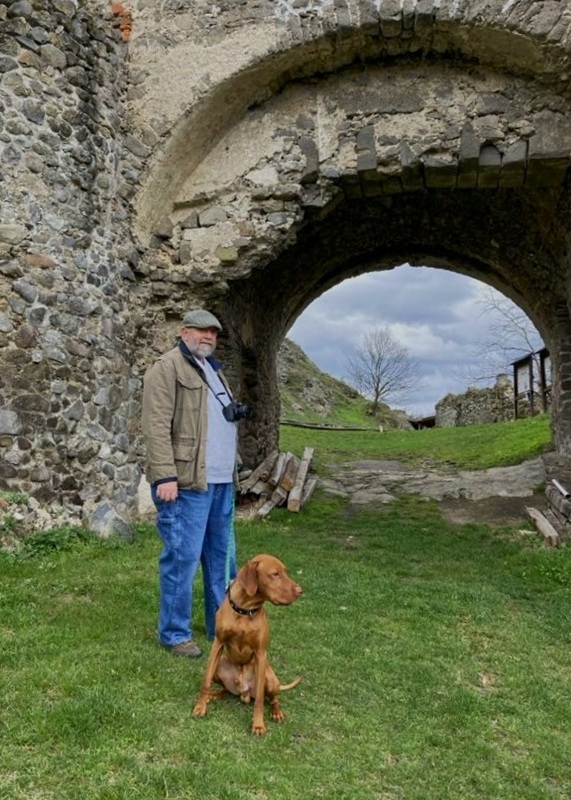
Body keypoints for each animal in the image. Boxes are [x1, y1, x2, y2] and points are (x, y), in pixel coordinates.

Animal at [192, 553, 303, 735]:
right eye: (275, 574)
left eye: (285, 572)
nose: (300, 591)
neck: (245, 610)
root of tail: (243, 692)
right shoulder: (218, 643)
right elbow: (205, 681)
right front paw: (200, 706)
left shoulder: (260, 653)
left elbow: (259, 699)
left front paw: (258, 725)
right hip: (220, 665)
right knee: (225, 690)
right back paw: (213, 696)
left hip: (270, 677)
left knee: (273, 698)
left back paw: (277, 712)